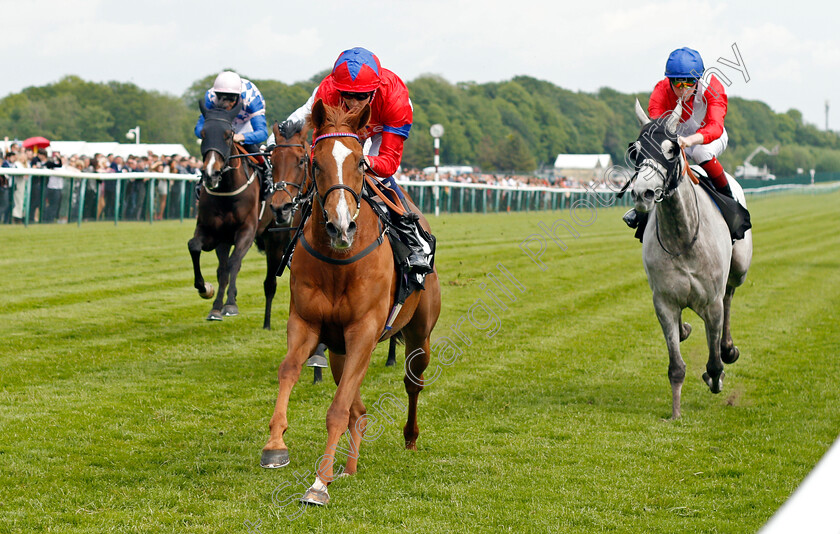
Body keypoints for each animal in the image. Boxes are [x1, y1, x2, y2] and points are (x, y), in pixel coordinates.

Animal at [189, 100, 260, 322]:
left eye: (228, 135)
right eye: (203, 134)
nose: (211, 173)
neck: (227, 191)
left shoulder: (247, 229)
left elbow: (234, 262)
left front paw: (230, 304)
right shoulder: (213, 231)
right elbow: (195, 246)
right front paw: (206, 290)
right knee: (222, 268)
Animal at [260, 100, 446, 506]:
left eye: (361, 162)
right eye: (315, 163)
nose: (341, 226)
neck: (338, 261)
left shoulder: (364, 329)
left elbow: (338, 408)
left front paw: (318, 483)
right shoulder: (306, 323)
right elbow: (289, 370)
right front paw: (275, 446)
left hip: (418, 334)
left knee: (412, 382)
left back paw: (409, 438)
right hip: (338, 351)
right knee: (357, 409)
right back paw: (349, 468)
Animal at [632, 99, 756, 418]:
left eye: (671, 149)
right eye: (636, 151)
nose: (642, 193)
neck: (683, 237)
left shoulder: (711, 301)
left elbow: (713, 362)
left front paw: (717, 375)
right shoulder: (663, 302)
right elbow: (676, 365)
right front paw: (675, 412)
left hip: (739, 268)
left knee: (730, 294)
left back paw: (728, 348)